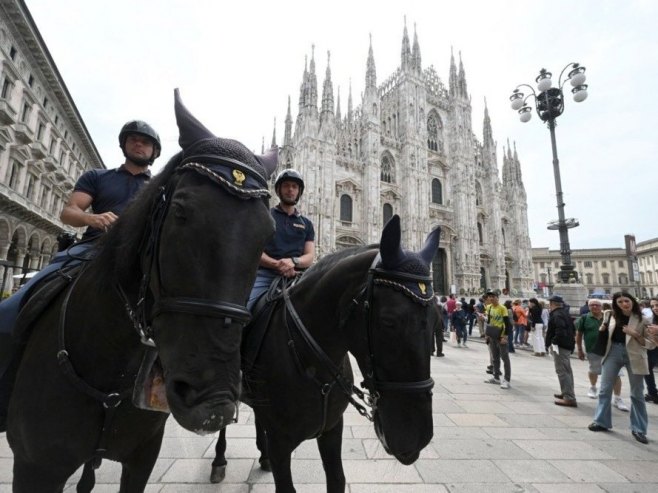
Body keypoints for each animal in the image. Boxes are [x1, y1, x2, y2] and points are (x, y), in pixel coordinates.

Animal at [214, 216, 436, 492]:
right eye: (388, 321)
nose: (417, 437)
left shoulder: (332, 428)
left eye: (435, 315)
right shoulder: (280, 440)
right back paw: (219, 462)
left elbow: (337, 478)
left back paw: (262, 457)